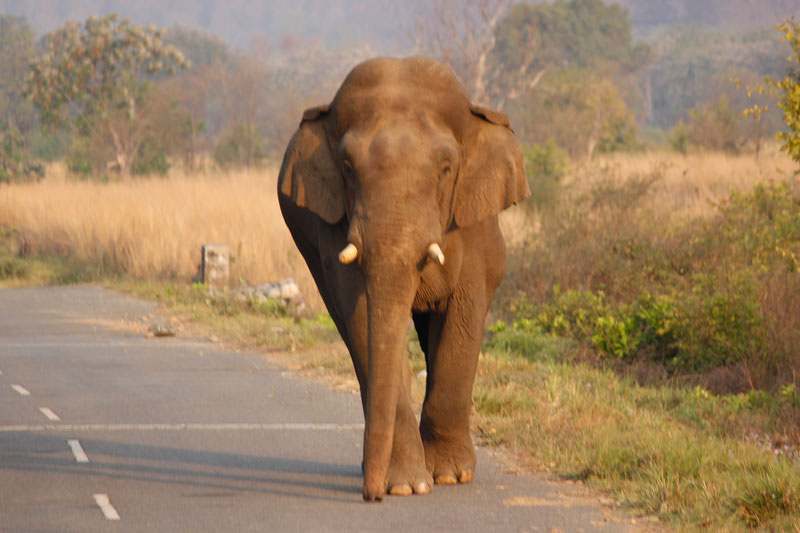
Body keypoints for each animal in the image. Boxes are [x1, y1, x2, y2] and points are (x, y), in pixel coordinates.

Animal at [278, 56, 528, 500]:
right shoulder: (336, 229)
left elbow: (463, 314)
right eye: (347, 168)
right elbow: (365, 319)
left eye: (446, 169)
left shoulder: (472, 225)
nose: (371, 496)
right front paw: (407, 485)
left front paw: (450, 475)